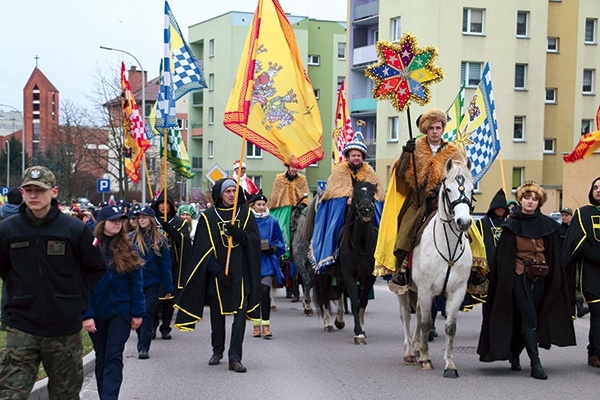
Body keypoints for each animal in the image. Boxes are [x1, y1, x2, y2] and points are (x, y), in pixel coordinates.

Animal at [314, 181, 376, 344]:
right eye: (355, 194)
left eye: (373, 194)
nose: (366, 211)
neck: (361, 245)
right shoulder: (349, 275)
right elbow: (355, 301)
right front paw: (358, 334)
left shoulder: (369, 277)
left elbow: (363, 301)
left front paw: (362, 329)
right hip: (322, 274)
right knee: (324, 296)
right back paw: (328, 324)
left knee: (339, 293)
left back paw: (339, 320)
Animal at [396, 157, 476, 378]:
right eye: (448, 189)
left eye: (472, 189)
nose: (463, 222)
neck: (448, 249)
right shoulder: (425, 289)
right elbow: (424, 323)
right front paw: (425, 358)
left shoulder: (457, 291)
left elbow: (450, 327)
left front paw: (450, 365)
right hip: (404, 289)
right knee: (407, 316)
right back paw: (410, 352)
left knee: (418, 315)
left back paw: (416, 348)